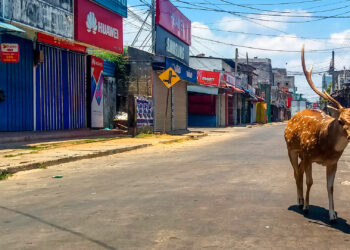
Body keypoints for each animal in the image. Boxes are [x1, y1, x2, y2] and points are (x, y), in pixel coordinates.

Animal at [284, 44, 350, 223]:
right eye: (341, 121)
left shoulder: (333, 162)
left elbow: (330, 187)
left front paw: (333, 215)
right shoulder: (308, 155)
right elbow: (310, 182)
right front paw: (307, 207)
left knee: (299, 171)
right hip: (291, 149)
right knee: (296, 172)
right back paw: (300, 202)